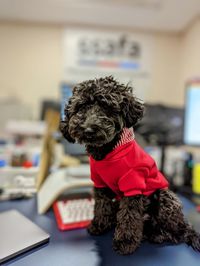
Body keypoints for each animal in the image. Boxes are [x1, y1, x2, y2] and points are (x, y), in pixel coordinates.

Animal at [60, 76, 200, 255]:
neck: (107, 153)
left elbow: (129, 216)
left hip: (166, 198)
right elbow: (101, 207)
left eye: (106, 107)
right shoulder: (100, 184)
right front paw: (99, 225)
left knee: (179, 232)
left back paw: (157, 234)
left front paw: (125, 242)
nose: (89, 129)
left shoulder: (133, 185)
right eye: (81, 107)